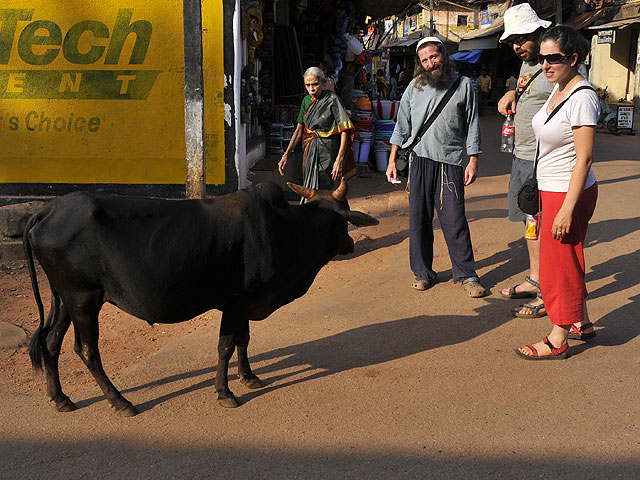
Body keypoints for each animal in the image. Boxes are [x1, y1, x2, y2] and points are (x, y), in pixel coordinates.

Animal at [25, 178, 378, 414]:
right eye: (345, 219)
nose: (351, 244)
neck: (284, 229)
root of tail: (48, 209)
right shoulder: (236, 302)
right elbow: (225, 346)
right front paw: (225, 393)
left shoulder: (245, 302)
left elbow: (243, 341)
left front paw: (249, 377)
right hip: (83, 299)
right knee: (87, 351)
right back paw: (120, 401)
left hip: (66, 300)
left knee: (50, 342)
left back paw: (60, 398)